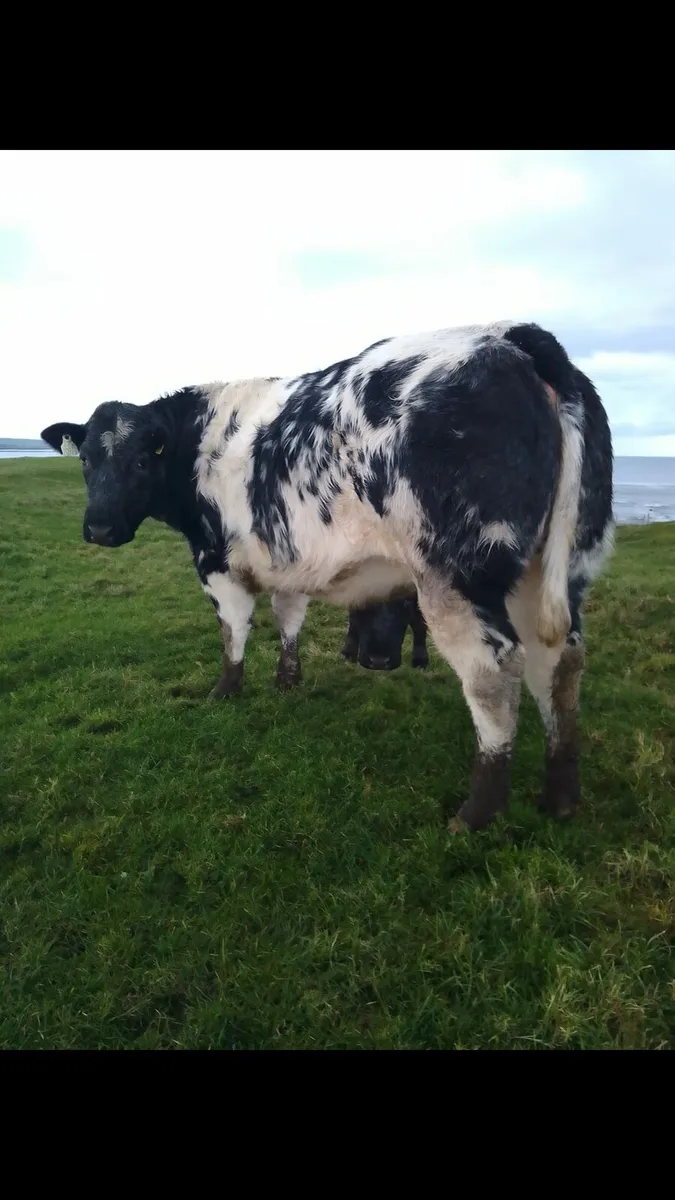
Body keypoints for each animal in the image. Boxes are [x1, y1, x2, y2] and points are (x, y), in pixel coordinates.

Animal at [41, 320, 614, 832]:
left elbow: (234, 630)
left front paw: (226, 690)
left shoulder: (216, 562)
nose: (99, 528)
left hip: (457, 577)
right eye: (86, 459)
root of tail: (511, 335)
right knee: (559, 661)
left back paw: (476, 814)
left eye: (140, 461)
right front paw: (287, 680)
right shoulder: (287, 559)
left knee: (494, 672)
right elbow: (287, 616)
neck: (201, 440)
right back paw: (561, 796)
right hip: (556, 569)